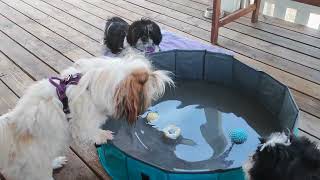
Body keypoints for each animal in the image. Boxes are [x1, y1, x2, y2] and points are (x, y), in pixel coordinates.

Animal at [0, 54, 174, 179]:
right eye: (147, 79)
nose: (164, 78)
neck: (91, 88)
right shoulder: (83, 124)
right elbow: (91, 132)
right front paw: (104, 135)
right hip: (36, 168)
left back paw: (56, 162)